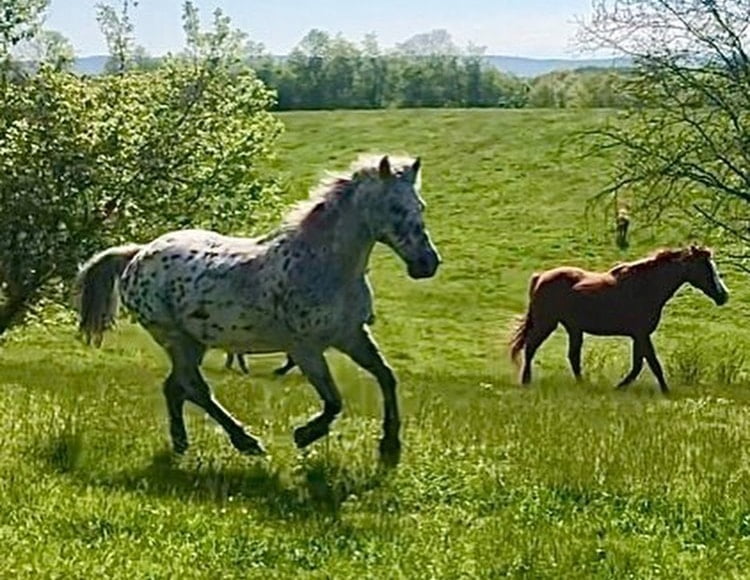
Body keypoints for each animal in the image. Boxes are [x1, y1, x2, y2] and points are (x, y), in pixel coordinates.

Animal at [75, 155, 440, 466]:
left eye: (420, 206)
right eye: (394, 207)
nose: (427, 264)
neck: (324, 265)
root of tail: (137, 254)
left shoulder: (351, 335)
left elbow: (386, 377)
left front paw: (390, 448)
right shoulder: (305, 348)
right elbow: (334, 401)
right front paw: (305, 435)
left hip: (194, 342)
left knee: (175, 388)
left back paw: (181, 444)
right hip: (174, 337)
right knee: (195, 389)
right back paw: (247, 443)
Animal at [510, 246, 729, 392]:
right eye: (706, 267)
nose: (723, 296)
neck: (646, 287)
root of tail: (540, 276)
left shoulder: (639, 336)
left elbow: (639, 364)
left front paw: (620, 387)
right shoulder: (641, 334)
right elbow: (653, 364)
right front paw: (665, 392)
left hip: (573, 329)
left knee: (572, 356)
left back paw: (582, 384)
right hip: (547, 323)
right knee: (531, 348)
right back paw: (526, 381)